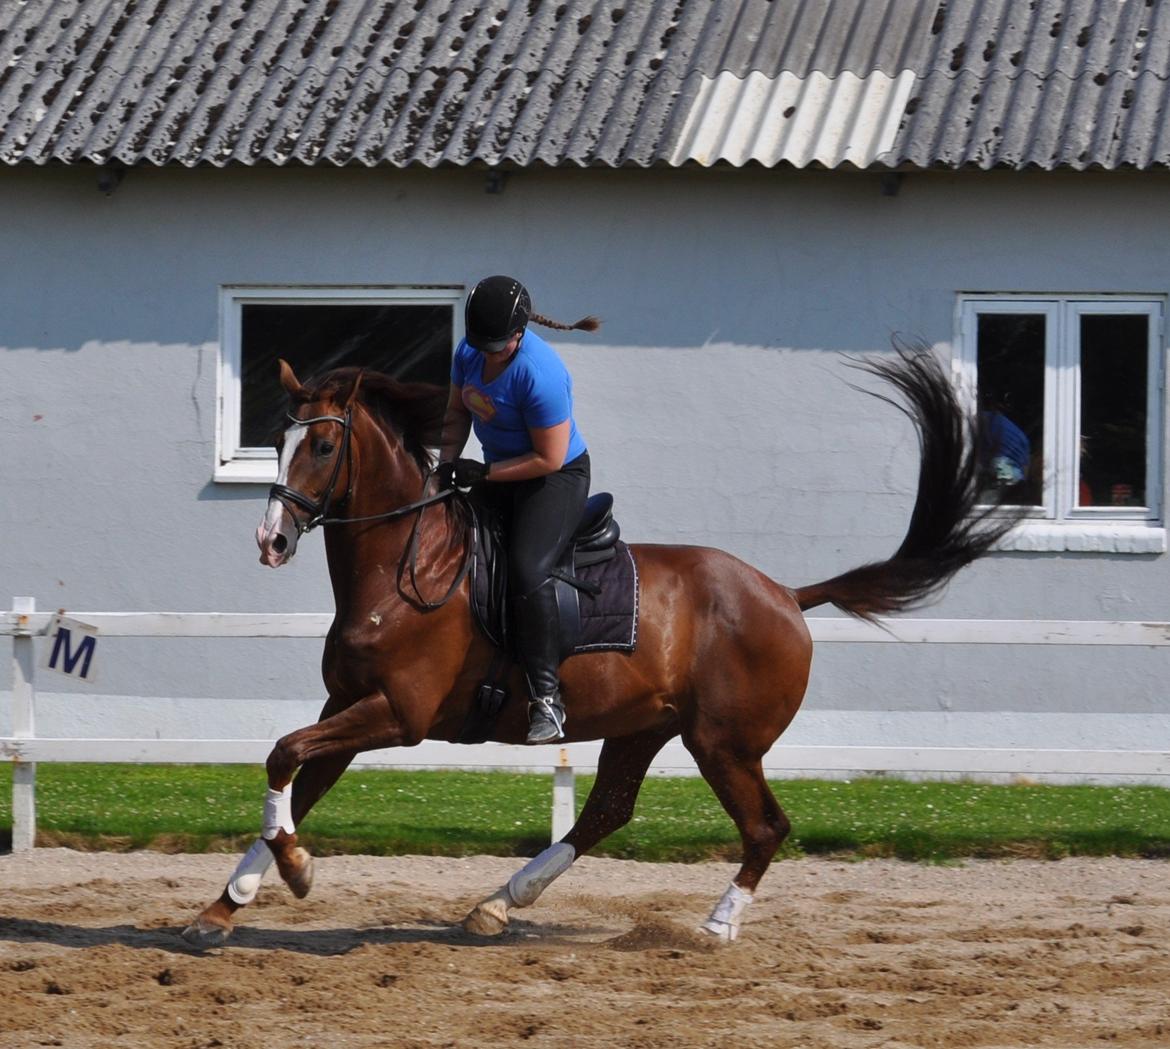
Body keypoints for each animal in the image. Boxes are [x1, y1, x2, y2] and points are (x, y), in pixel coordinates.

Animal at [182, 348, 1015, 944]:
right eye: (278, 438)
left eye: (323, 444)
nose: (271, 539)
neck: (402, 569)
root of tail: (784, 593)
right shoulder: (348, 705)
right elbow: (293, 781)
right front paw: (229, 902)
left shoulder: (397, 713)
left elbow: (285, 756)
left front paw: (293, 872)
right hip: (644, 726)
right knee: (607, 811)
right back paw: (499, 902)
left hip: (724, 742)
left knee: (764, 827)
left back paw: (715, 925)